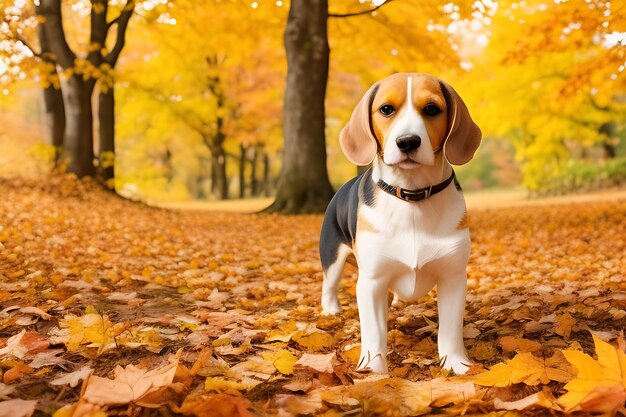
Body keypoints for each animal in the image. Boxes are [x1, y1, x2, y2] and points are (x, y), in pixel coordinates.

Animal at [320, 72, 480, 374]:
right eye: (386, 109)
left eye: (431, 109)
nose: (407, 141)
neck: (412, 199)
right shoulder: (371, 281)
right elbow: (374, 333)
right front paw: (374, 370)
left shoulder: (453, 278)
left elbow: (450, 330)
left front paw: (457, 364)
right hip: (332, 256)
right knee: (329, 286)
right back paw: (330, 311)